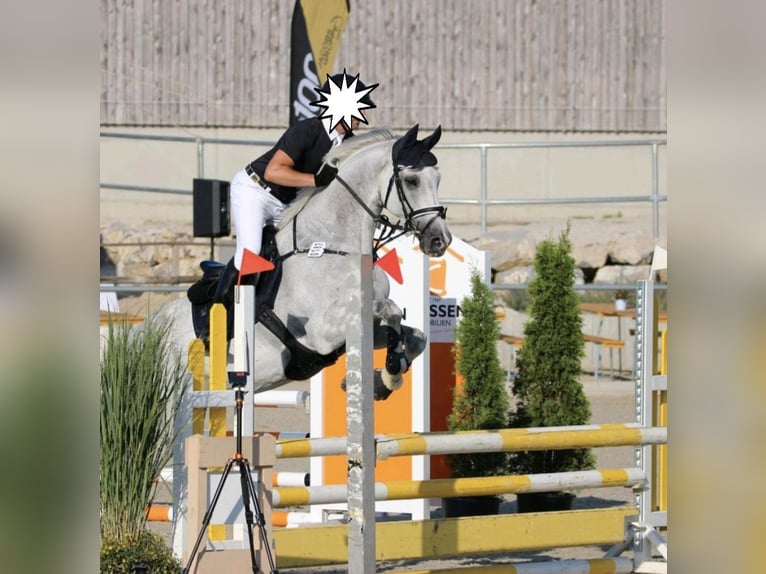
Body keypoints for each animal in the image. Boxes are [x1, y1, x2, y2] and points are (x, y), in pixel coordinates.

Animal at [157, 124, 452, 400]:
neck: (330, 246)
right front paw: (388, 372)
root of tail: (152, 325)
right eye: (411, 180)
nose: (440, 240)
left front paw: (385, 379)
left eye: (438, 178)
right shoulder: (322, 333)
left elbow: (416, 337)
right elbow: (390, 309)